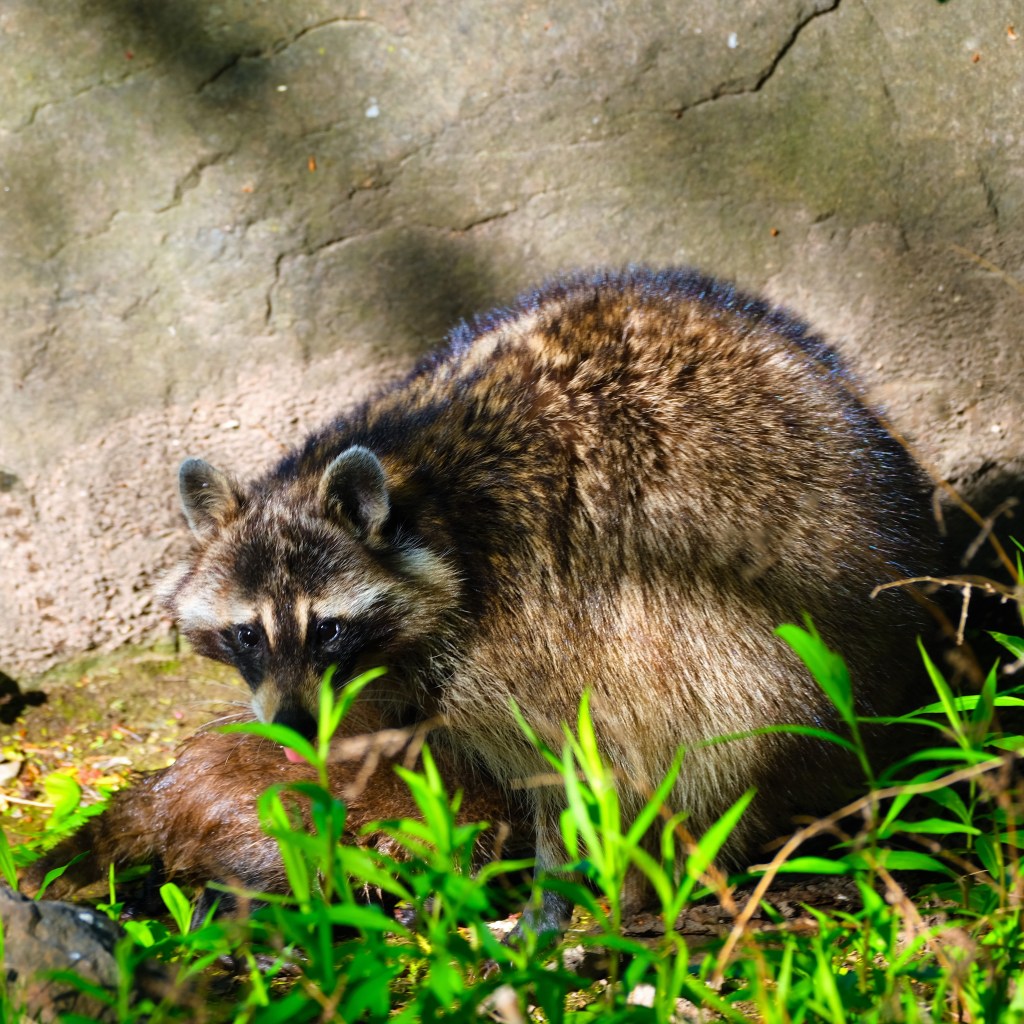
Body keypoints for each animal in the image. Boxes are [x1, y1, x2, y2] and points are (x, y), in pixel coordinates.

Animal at [162, 267, 935, 934]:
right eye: (247, 634)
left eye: (326, 629)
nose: (292, 727)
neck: (424, 501)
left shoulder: (532, 615)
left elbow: (572, 755)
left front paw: (550, 885)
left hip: (772, 618)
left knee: (726, 722)